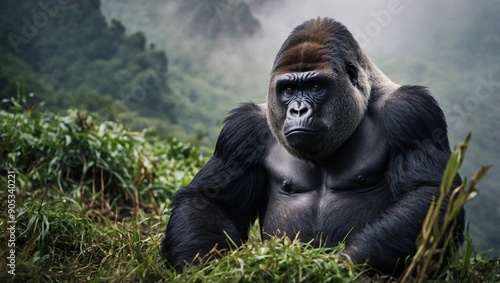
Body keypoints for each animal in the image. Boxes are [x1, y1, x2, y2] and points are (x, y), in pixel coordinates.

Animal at [161, 17, 464, 276]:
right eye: (288, 90)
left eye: (316, 86)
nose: (298, 109)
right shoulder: (242, 130)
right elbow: (211, 200)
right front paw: (200, 268)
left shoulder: (413, 112)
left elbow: (429, 191)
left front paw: (342, 265)